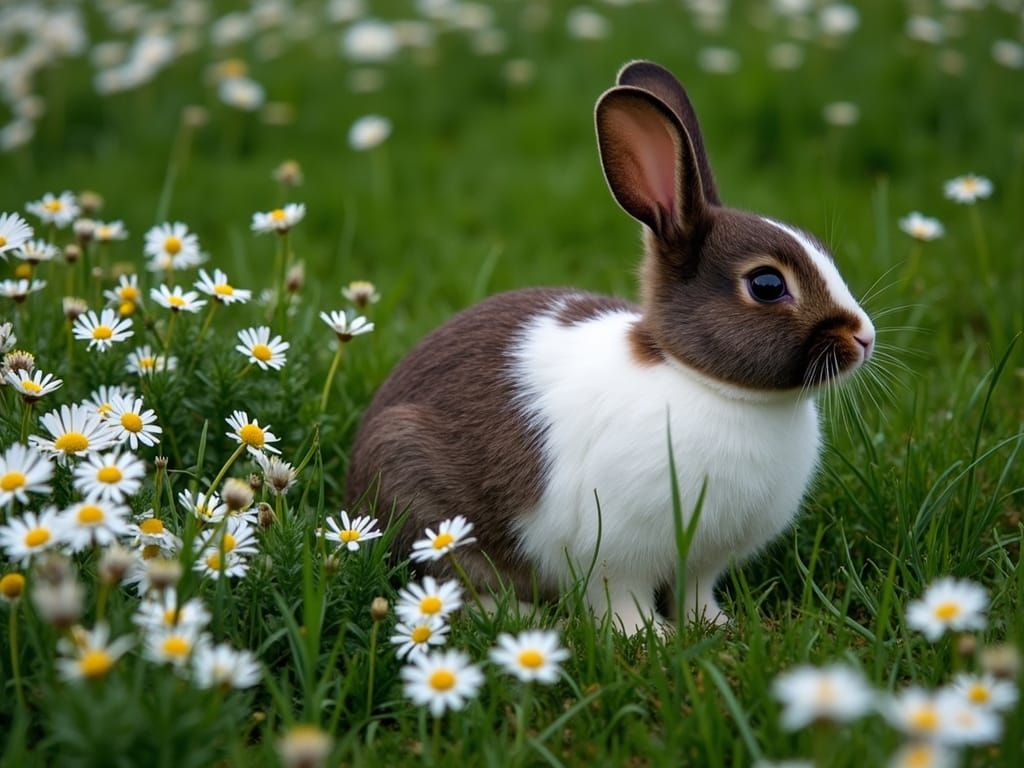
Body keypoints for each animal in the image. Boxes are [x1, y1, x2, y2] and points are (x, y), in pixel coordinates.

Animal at [347, 60, 876, 635]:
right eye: (767, 285)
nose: (864, 338)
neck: (708, 384)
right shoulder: (614, 556)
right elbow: (621, 601)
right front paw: (650, 639)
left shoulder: (702, 561)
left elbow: (696, 591)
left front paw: (714, 627)